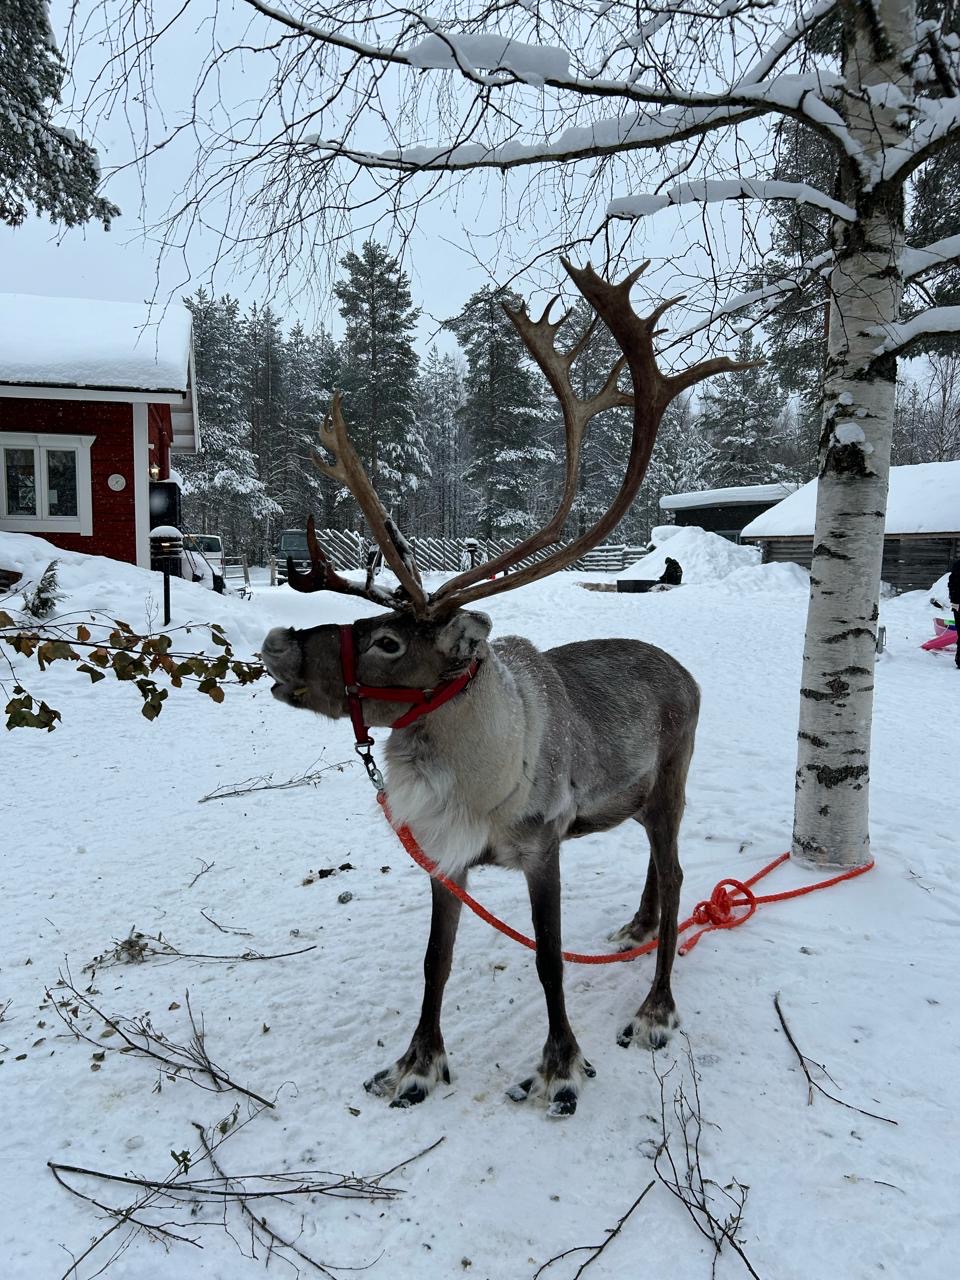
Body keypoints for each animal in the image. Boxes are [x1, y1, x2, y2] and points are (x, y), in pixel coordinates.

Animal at [261, 260, 749, 1117]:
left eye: (389, 641)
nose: (278, 641)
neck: (474, 780)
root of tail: (684, 670)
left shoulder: (542, 847)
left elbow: (548, 960)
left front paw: (561, 1066)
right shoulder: (446, 859)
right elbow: (434, 962)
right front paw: (416, 1063)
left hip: (672, 781)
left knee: (680, 871)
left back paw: (656, 1009)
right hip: (639, 797)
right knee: (659, 871)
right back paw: (637, 927)